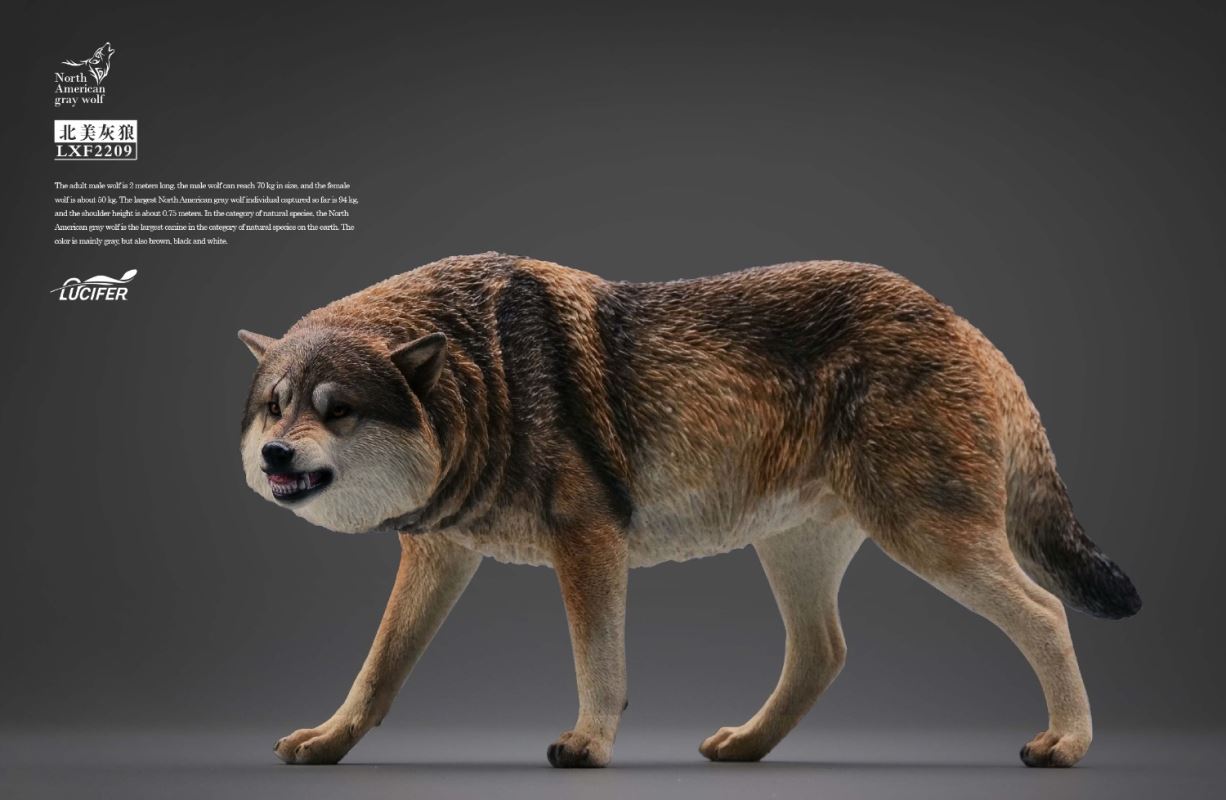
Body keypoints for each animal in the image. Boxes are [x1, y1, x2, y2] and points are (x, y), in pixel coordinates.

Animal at [238, 252, 1140, 769]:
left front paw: (590, 744)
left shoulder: (588, 540)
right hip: (797, 552)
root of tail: (959, 320)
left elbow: (598, 663)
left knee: (1046, 611)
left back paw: (1067, 743)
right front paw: (327, 741)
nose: (274, 456)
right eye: (274, 406)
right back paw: (746, 746)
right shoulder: (439, 554)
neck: (483, 376)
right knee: (825, 651)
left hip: (929, 537)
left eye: (337, 410)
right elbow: (376, 669)